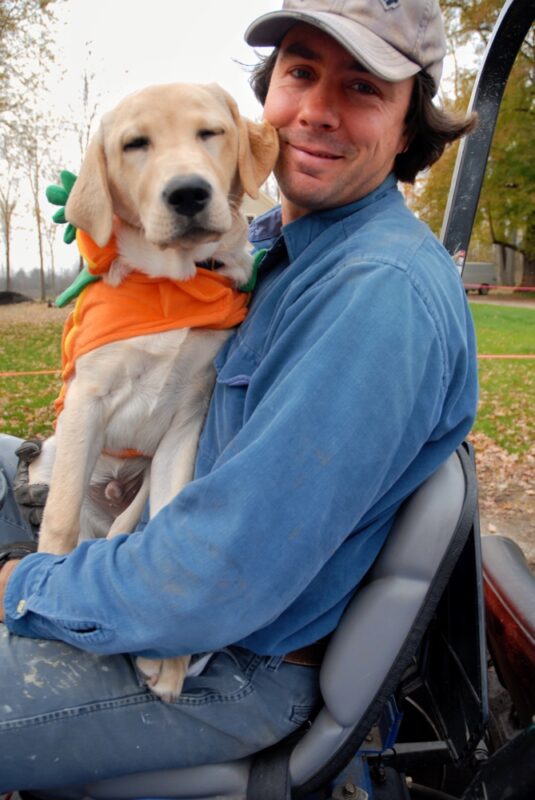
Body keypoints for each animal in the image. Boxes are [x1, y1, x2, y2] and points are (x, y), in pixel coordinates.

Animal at [29, 83, 278, 700]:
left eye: (210, 133)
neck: (172, 286)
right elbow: (59, 523)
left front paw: (171, 664)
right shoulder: (86, 402)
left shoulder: (187, 421)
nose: (188, 193)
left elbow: (170, 532)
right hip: (57, 458)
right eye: (134, 144)